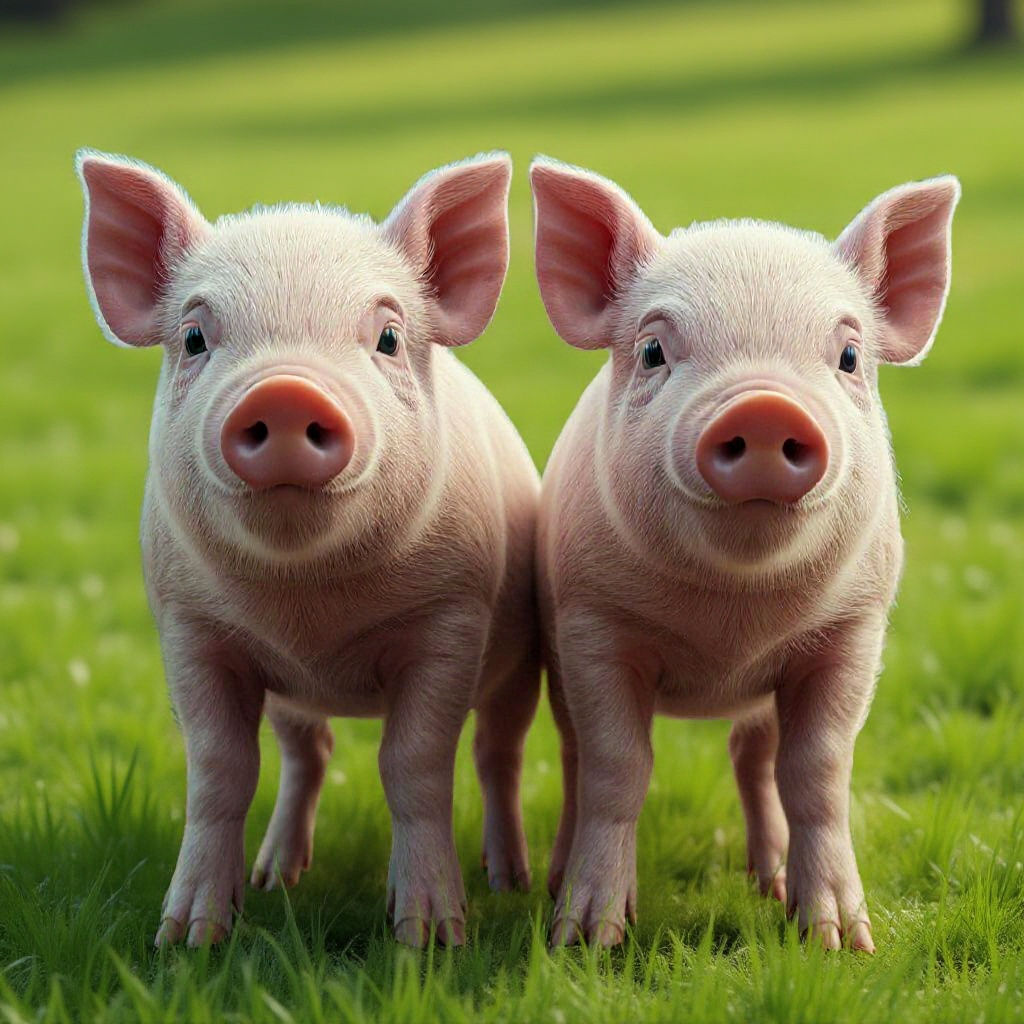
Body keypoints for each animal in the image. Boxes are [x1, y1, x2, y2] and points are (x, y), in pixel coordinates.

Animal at [75, 149, 541, 948]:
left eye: (387, 338)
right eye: (194, 337)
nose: (286, 393)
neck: (309, 609)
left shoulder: (453, 614)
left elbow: (416, 763)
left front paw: (430, 939)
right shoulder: (187, 625)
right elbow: (219, 767)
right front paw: (186, 939)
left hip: (523, 655)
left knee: (498, 752)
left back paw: (509, 880)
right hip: (291, 695)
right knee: (307, 754)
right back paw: (277, 877)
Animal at [530, 157, 960, 952]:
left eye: (849, 355)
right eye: (653, 350)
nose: (764, 408)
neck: (731, 624)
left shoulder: (853, 631)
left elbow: (818, 770)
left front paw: (842, 943)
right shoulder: (592, 622)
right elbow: (617, 765)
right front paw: (588, 939)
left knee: (752, 757)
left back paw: (771, 883)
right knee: (575, 753)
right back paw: (551, 884)